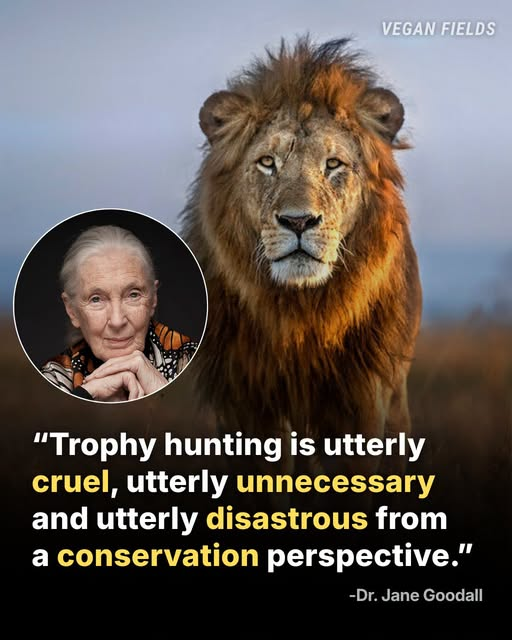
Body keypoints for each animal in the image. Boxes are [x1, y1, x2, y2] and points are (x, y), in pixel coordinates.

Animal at [181, 36, 422, 477]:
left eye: (333, 164)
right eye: (267, 163)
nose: (298, 221)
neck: (301, 311)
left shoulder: (364, 397)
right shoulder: (250, 401)